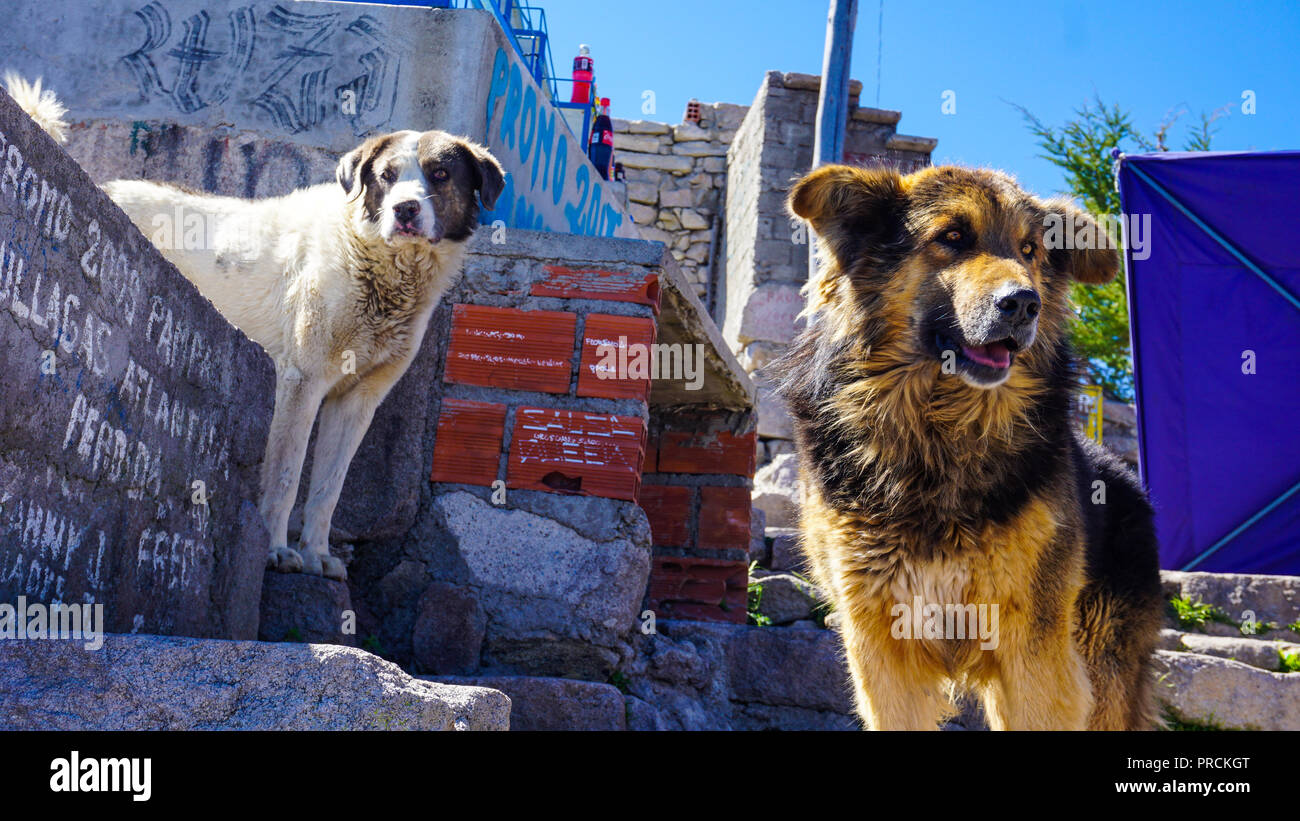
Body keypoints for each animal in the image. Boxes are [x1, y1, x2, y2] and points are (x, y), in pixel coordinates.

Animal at [10, 72, 506, 584]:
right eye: (386, 176)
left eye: (439, 174)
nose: (405, 209)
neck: (375, 262)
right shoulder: (299, 381)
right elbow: (285, 477)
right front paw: (274, 550)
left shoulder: (358, 401)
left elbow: (328, 489)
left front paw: (317, 554)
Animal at [774, 163, 1164, 727]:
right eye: (953, 237)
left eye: (1030, 250)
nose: (1024, 304)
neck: (937, 434)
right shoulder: (881, 649)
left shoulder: (1036, 653)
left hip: (1100, 665)